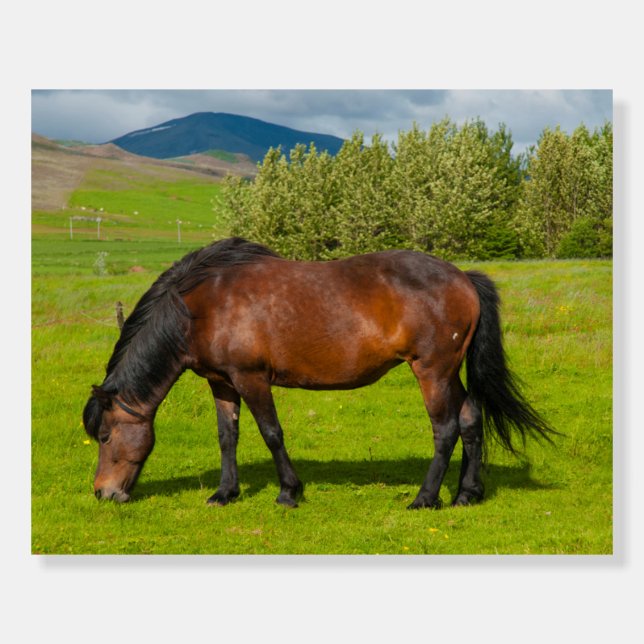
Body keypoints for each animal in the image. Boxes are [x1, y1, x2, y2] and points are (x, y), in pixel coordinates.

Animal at [83, 237, 555, 509]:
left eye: (104, 436)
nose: (104, 493)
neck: (203, 305)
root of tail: (463, 278)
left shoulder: (252, 378)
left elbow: (272, 433)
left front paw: (289, 492)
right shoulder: (222, 382)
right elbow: (227, 437)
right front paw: (225, 493)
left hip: (433, 372)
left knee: (446, 429)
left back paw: (425, 498)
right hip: (449, 372)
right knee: (471, 417)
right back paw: (466, 494)